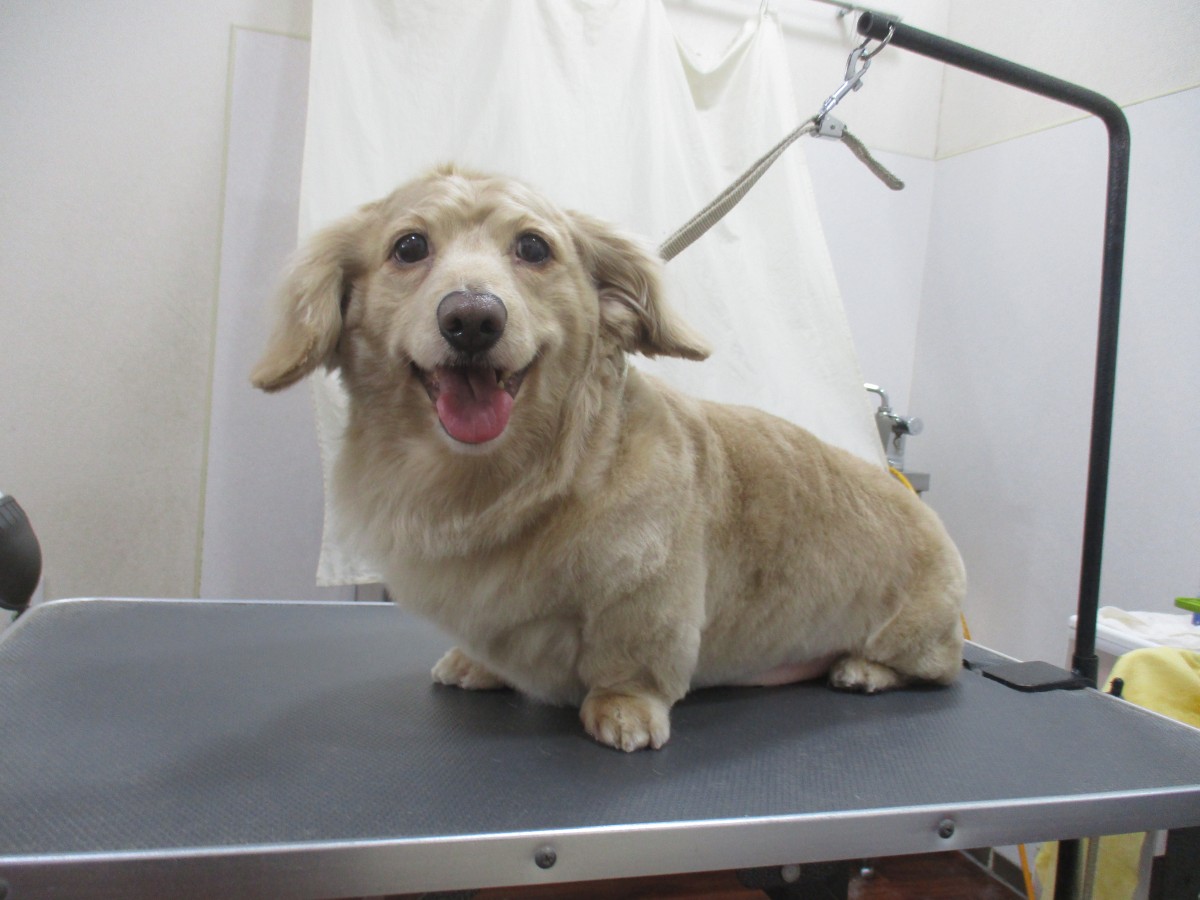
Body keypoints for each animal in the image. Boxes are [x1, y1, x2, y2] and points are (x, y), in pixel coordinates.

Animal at [252, 165, 965, 752]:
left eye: (533, 247)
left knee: (939, 669)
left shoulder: (649, 599)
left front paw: (624, 711)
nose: (473, 318)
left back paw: (862, 669)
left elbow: (631, 663)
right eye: (409, 247)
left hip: (918, 636)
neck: (507, 485)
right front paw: (475, 664)